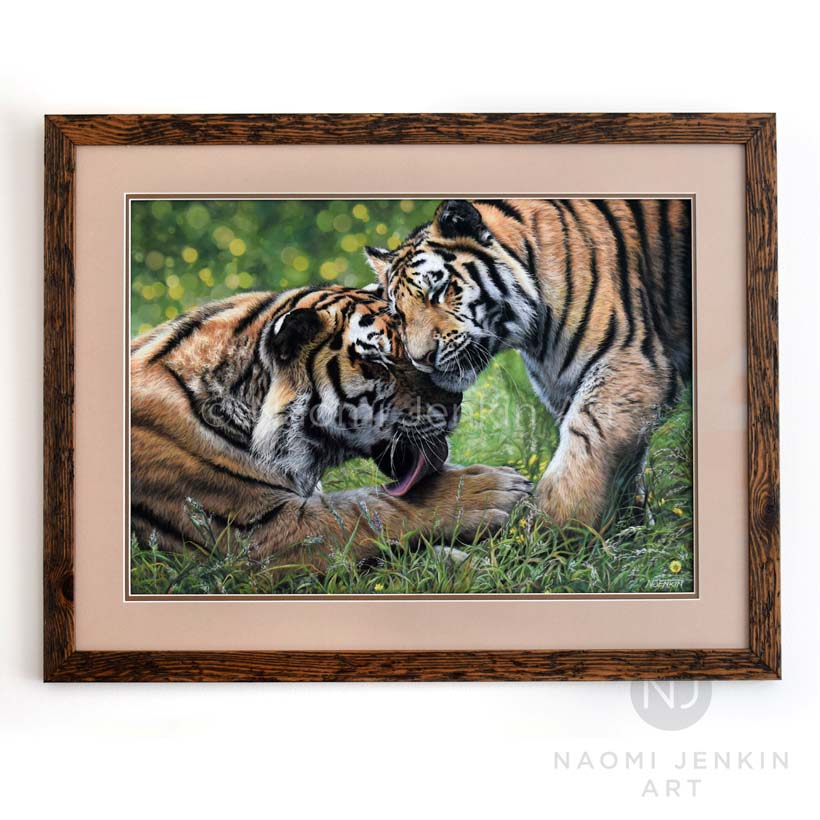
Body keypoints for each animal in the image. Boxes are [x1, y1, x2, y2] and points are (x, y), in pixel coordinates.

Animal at [130, 285, 530, 569]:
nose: (454, 402)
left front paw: (472, 565)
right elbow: (365, 508)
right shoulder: (253, 535)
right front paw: (491, 489)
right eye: (381, 363)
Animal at [364, 198, 692, 528]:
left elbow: (586, 441)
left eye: (439, 291)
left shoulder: (630, 361)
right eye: (399, 315)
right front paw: (627, 526)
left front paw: (553, 528)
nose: (422, 359)